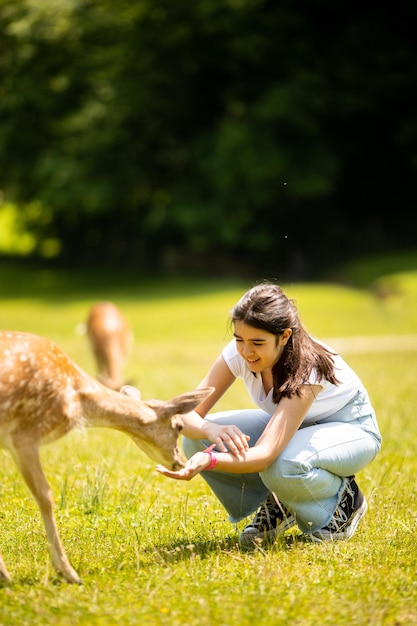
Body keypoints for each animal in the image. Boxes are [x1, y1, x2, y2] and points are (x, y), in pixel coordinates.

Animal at [0, 330, 213, 584]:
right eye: (179, 426)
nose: (180, 462)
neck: (77, 400)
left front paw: (5, 574)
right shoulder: (24, 435)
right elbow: (45, 497)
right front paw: (68, 573)